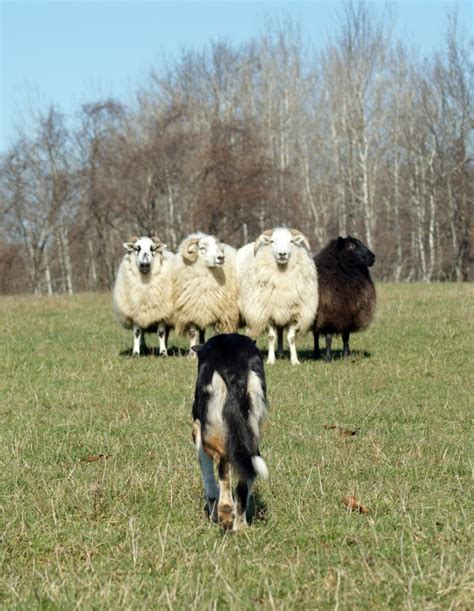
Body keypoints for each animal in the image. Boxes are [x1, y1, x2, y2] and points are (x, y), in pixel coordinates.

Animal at [192, 334, 266, 532]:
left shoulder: (200, 434)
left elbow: (209, 480)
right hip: (250, 434)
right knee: (244, 479)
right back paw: (240, 525)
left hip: (213, 434)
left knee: (223, 464)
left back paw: (225, 512)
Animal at [236, 227, 318, 366]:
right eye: (272, 241)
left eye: (291, 241)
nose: (282, 254)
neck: (282, 274)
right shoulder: (266, 311)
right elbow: (271, 337)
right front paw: (270, 360)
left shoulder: (294, 312)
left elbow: (291, 338)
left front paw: (294, 360)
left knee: (280, 331)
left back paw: (280, 352)